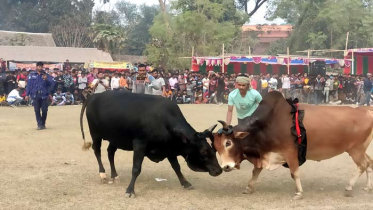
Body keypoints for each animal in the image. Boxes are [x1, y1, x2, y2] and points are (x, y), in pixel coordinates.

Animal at [79, 91, 221, 198]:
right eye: (203, 151)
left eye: (212, 149)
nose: (219, 170)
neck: (162, 120)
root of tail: (95, 95)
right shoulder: (140, 144)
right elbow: (136, 169)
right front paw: (130, 190)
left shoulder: (170, 148)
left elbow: (176, 167)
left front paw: (185, 183)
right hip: (96, 134)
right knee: (97, 151)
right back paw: (103, 174)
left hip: (115, 138)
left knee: (110, 153)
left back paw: (115, 176)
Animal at [212, 91, 372, 199]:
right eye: (216, 148)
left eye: (228, 142)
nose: (226, 167)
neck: (268, 122)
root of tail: (365, 110)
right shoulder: (264, 154)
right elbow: (255, 171)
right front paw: (249, 188)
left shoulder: (290, 151)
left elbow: (294, 172)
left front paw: (299, 193)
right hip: (361, 149)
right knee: (369, 163)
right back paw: (367, 188)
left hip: (355, 150)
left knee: (362, 165)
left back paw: (349, 187)